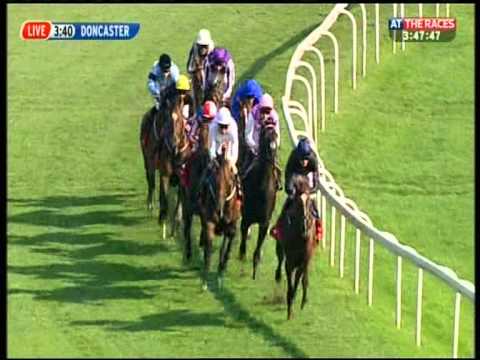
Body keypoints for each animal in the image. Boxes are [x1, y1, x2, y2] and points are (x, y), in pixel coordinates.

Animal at [200, 150, 242, 290]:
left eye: (228, 182)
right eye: (214, 181)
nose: (219, 208)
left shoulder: (232, 225)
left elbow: (226, 247)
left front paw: (221, 272)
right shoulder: (209, 221)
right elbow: (209, 246)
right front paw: (205, 279)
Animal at [240, 125, 282, 280]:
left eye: (276, 136)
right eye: (266, 137)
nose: (272, 157)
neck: (261, 188)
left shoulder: (265, 222)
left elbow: (258, 250)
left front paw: (254, 270)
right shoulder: (246, 217)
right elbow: (243, 242)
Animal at [274, 176, 318, 320]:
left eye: (309, 201)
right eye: (298, 202)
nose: (305, 225)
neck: (300, 236)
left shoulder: (304, 259)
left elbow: (299, 279)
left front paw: (296, 299)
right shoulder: (290, 261)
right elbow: (290, 282)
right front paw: (289, 309)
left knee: (305, 276)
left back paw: (304, 299)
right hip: (280, 244)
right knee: (280, 258)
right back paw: (277, 275)